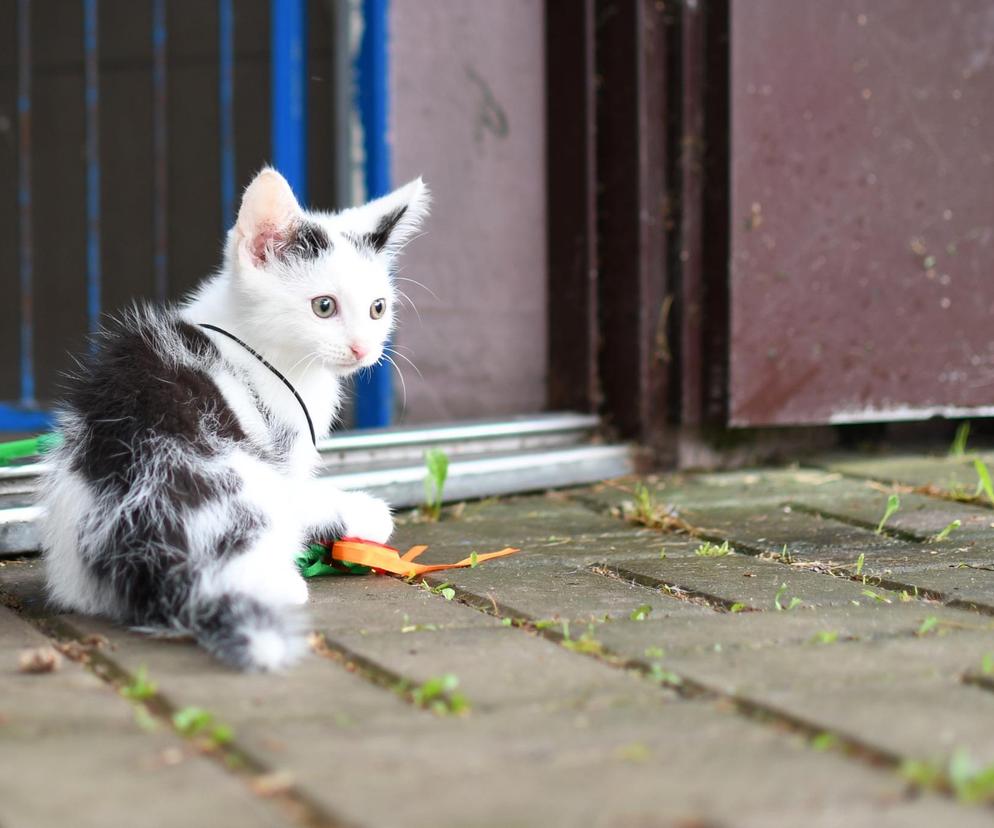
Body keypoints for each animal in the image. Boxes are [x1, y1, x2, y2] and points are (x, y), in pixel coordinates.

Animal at [40, 168, 428, 672]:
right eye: (324, 306)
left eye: (377, 309)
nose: (363, 349)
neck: (261, 345)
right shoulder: (280, 447)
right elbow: (303, 496)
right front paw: (367, 512)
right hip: (239, 474)